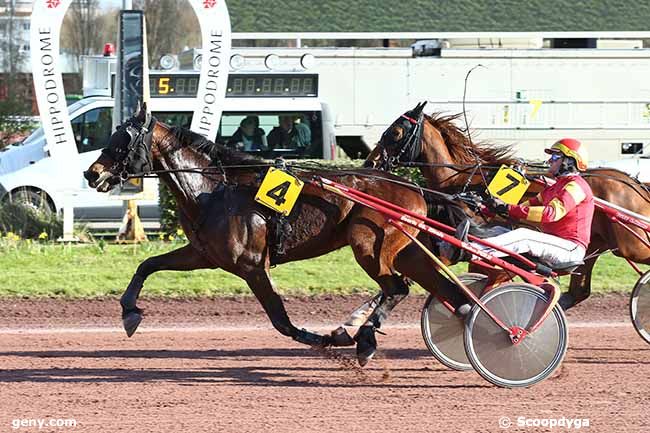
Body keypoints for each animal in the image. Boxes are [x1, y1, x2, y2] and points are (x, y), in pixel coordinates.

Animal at [82, 104, 466, 364]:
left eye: (124, 139)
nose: (92, 172)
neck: (214, 189)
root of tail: (411, 186)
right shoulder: (203, 254)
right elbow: (147, 265)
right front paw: (130, 312)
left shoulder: (252, 265)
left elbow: (281, 320)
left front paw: (328, 339)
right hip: (406, 249)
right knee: (439, 289)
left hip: (368, 244)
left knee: (396, 287)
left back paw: (365, 340)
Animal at [364, 102, 648, 308]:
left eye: (395, 132)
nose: (371, 162)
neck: (462, 184)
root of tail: (634, 184)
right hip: (593, 247)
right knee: (579, 292)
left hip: (631, 246)